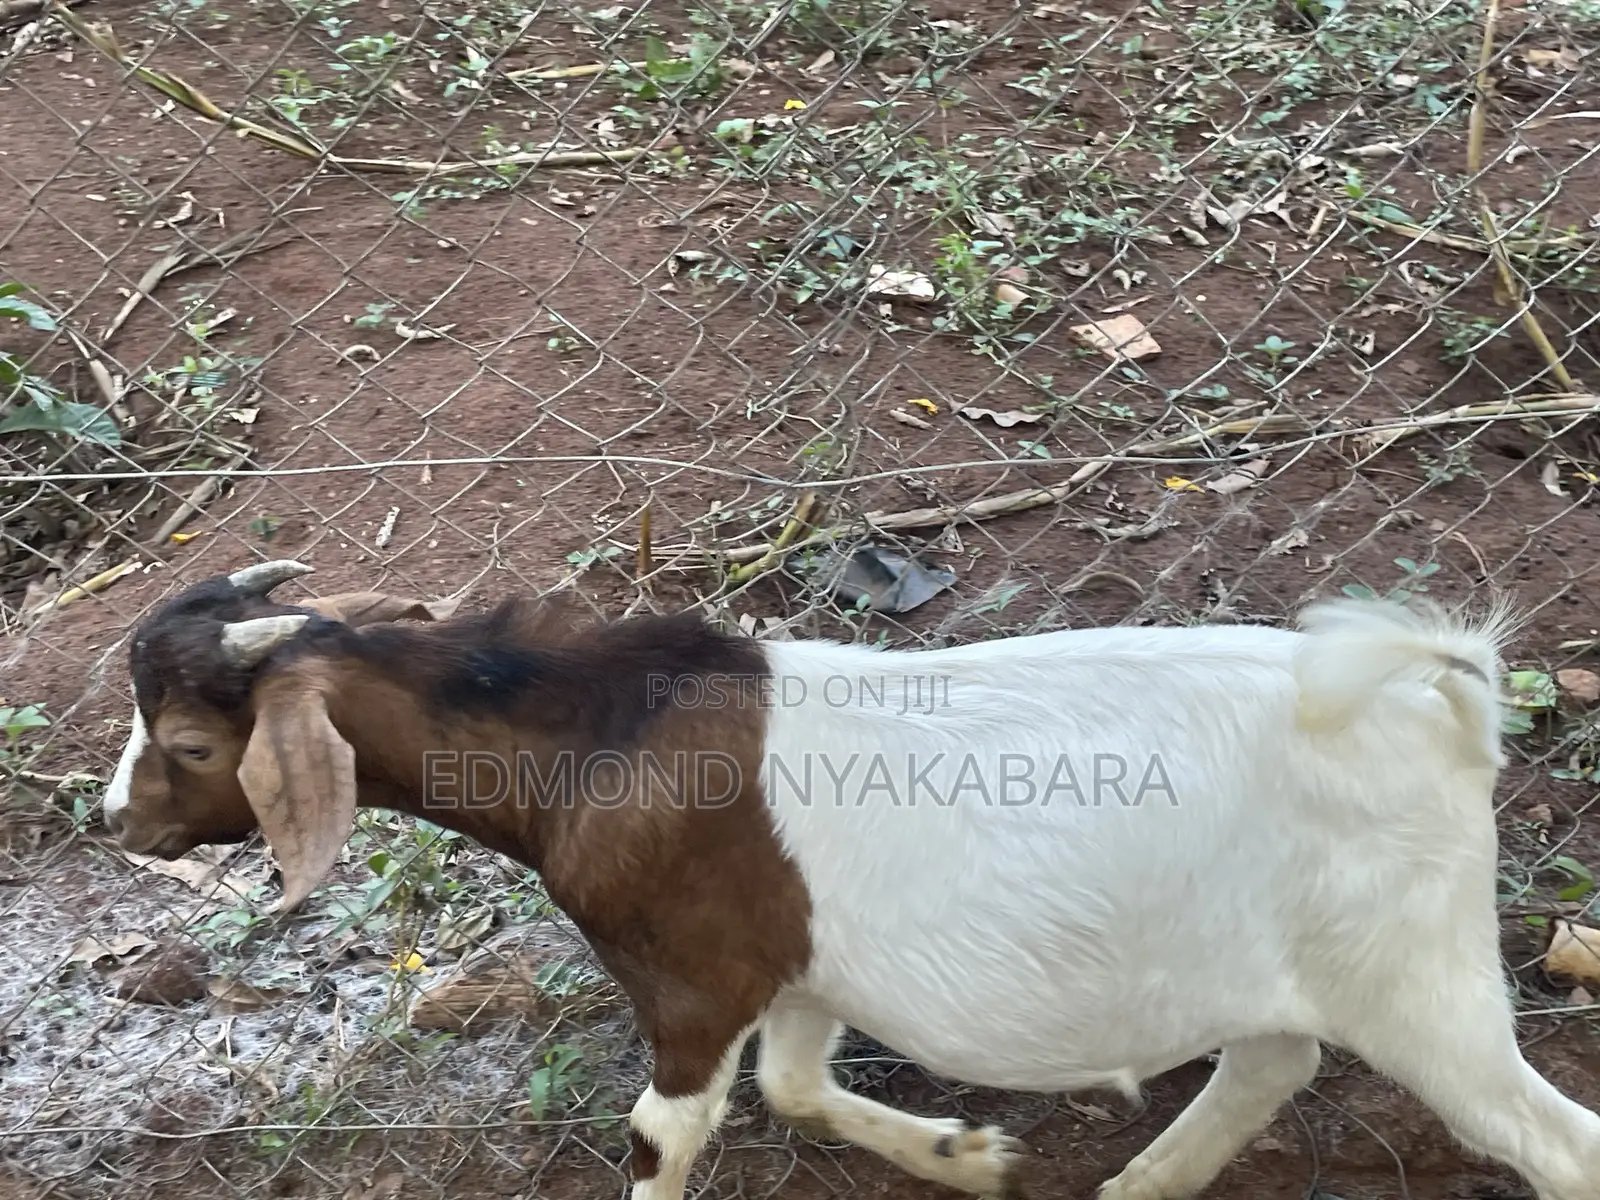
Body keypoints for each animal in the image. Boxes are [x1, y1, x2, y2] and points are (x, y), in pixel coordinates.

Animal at [101, 560, 1600, 1200]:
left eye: (190, 745)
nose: (118, 820)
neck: (600, 739)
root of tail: (1434, 700)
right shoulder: (798, 966)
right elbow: (797, 1087)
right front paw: (965, 1155)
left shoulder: (691, 977)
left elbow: (667, 1134)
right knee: (1270, 1061)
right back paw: (1138, 1188)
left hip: (1416, 972)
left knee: (1549, 1142)